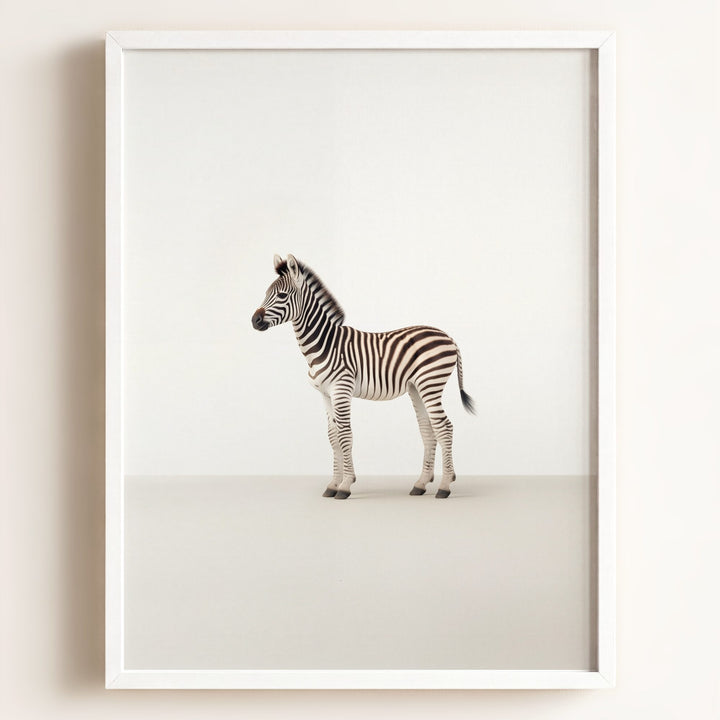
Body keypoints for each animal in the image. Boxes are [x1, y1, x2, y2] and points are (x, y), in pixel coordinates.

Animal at [251, 254, 475, 499]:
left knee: (444, 427)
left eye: (281, 295)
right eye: (266, 293)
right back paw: (421, 483)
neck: (324, 344)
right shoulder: (325, 394)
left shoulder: (341, 389)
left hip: (430, 383)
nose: (254, 320)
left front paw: (345, 485)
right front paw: (332, 484)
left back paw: (445, 486)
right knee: (428, 429)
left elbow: (345, 434)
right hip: (417, 387)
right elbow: (332, 436)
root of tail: (449, 337)